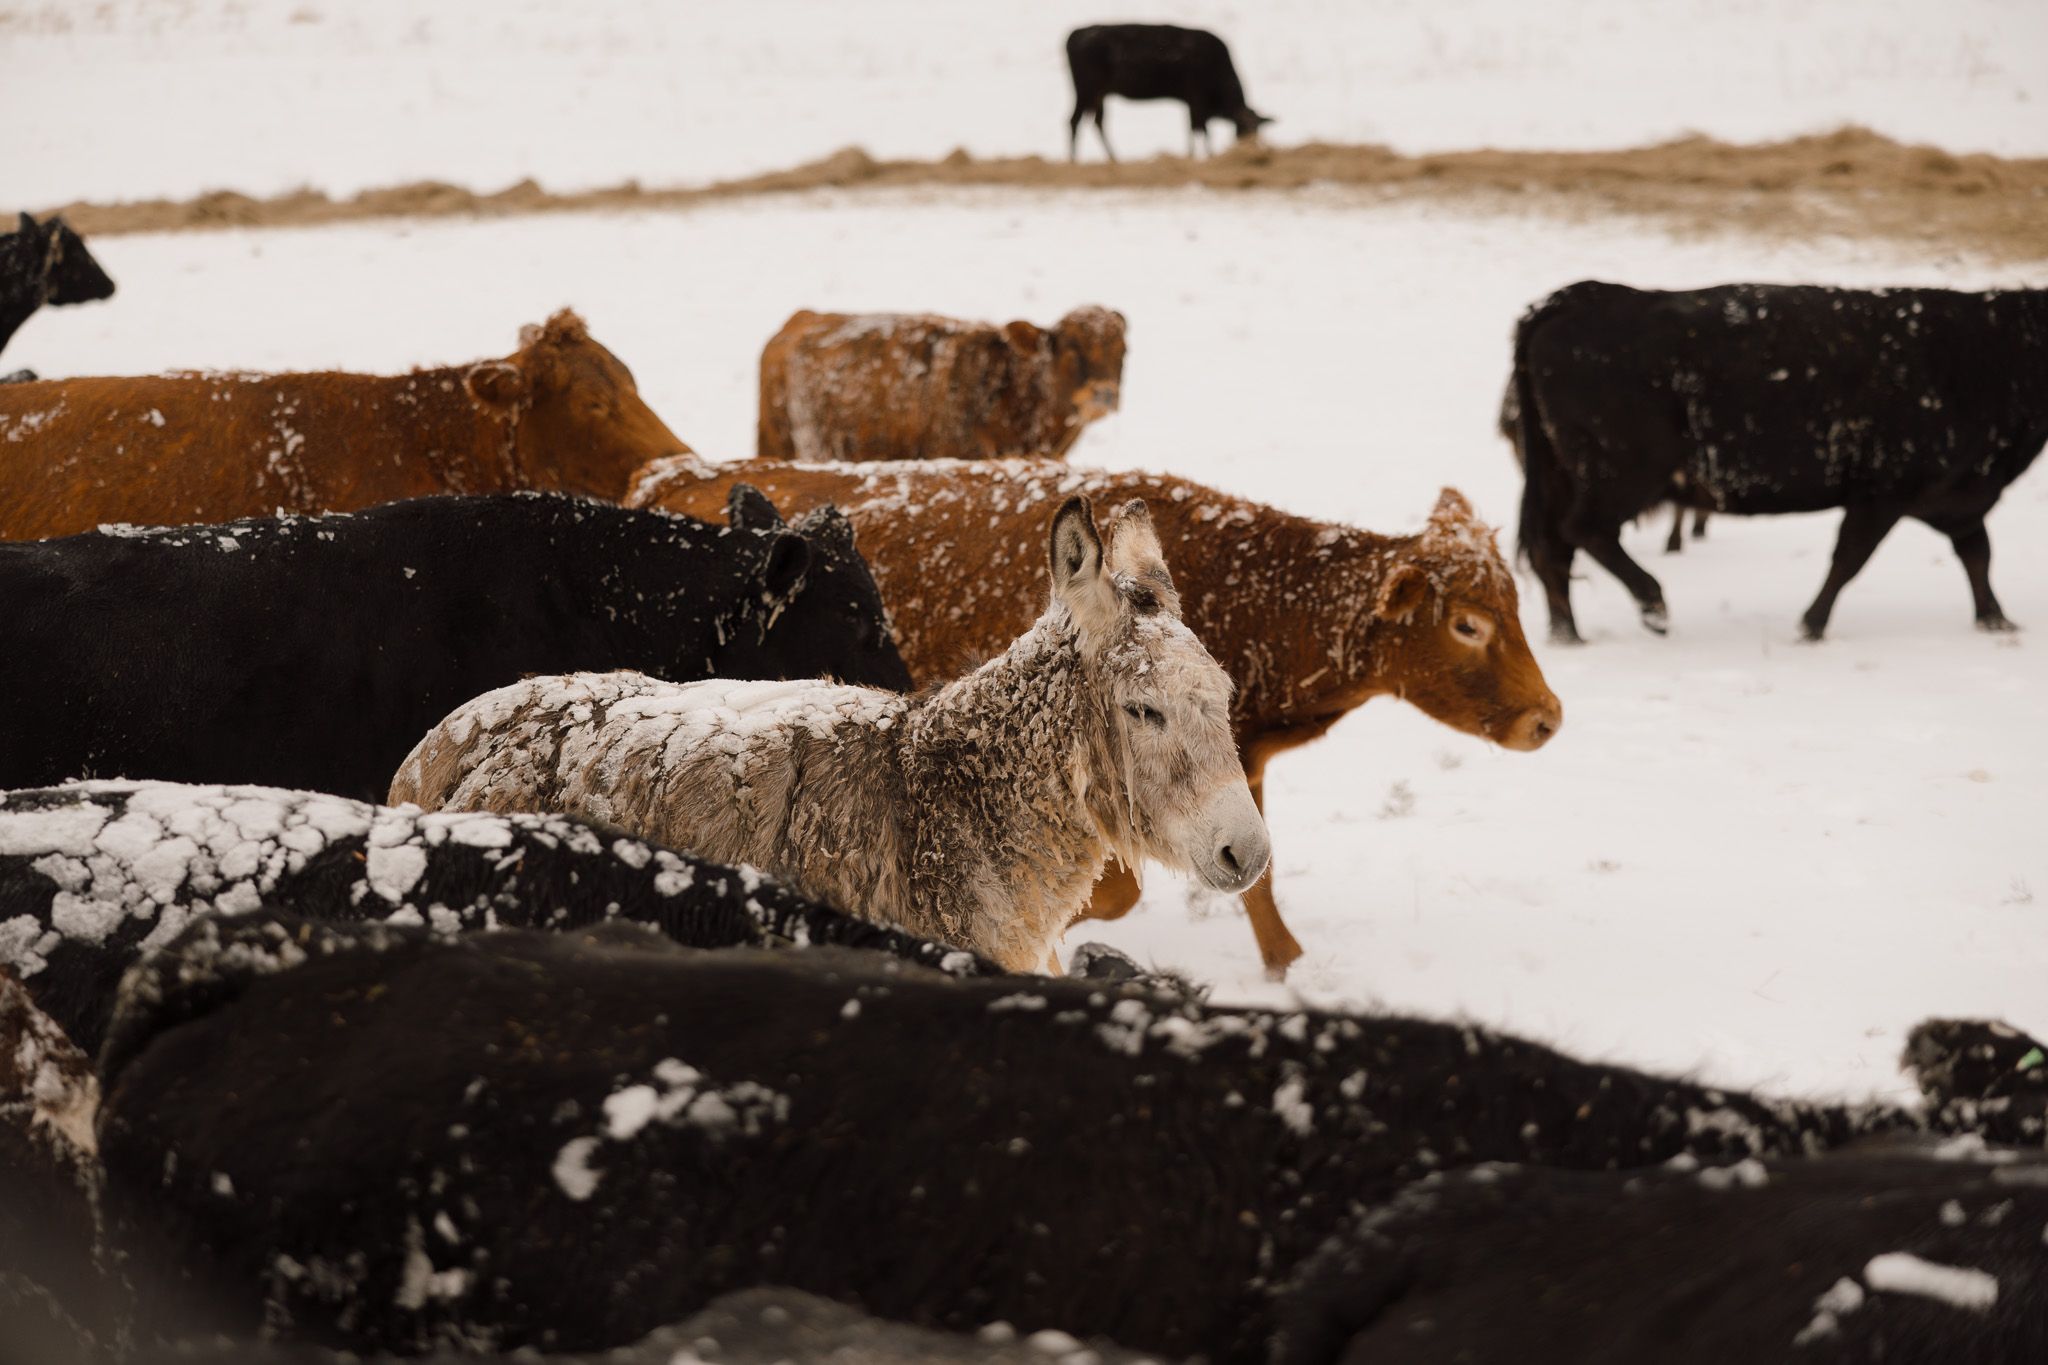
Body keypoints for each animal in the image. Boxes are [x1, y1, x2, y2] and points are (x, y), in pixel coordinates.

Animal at [625, 457, 1562, 977]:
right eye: (1467, 623)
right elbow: (1119, 894)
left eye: (1510, 605)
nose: (1547, 718)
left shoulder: (1238, 768)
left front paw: (1286, 962)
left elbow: (1256, 875)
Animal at [1066, 24, 1272, 162]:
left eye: (1258, 130)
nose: (1254, 151)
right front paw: (1208, 156)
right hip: (1085, 88)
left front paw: (1192, 156)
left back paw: (1114, 159)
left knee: (1097, 121)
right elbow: (1201, 129)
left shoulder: (1191, 101)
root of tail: (1073, 34)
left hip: (1099, 93)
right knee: (1074, 120)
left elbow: (1192, 128)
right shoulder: (1197, 97)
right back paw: (1074, 160)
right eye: (1245, 128)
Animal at [1510, 282, 2048, 643]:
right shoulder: (1883, 492)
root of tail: (1584, 296)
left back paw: (1567, 633)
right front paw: (1812, 625)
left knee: (1552, 548)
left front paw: (1997, 620)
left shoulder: (1958, 497)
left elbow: (1978, 555)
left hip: (1563, 475)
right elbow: (1849, 559)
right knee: (1584, 532)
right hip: (1623, 474)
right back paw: (1652, 605)